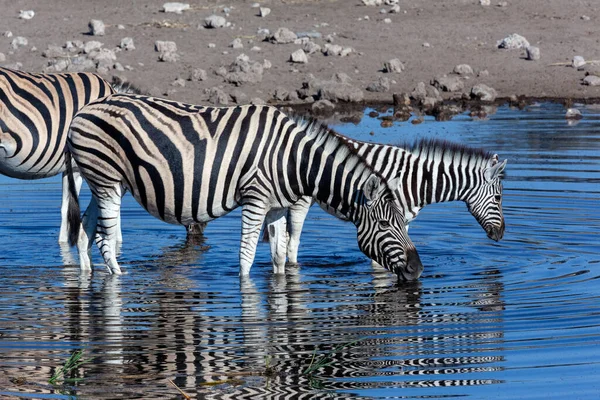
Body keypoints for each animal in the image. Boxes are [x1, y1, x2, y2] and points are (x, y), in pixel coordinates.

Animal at [64, 94, 422, 280]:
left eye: (405, 222)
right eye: (386, 224)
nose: (418, 270)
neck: (293, 160)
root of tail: (84, 110)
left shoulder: (276, 206)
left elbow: (279, 256)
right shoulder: (255, 198)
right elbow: (247, 256)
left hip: (104, 182)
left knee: (85, 228)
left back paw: (85, 276)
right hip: (107, 180)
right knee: (105, 238)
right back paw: (118, 279)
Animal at [268, 137, 506, 266]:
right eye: (498, 198)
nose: (501, 234)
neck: (416, 180)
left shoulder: (403, 222)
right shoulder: (382, 221)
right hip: (300, 203)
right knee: (292, 243)